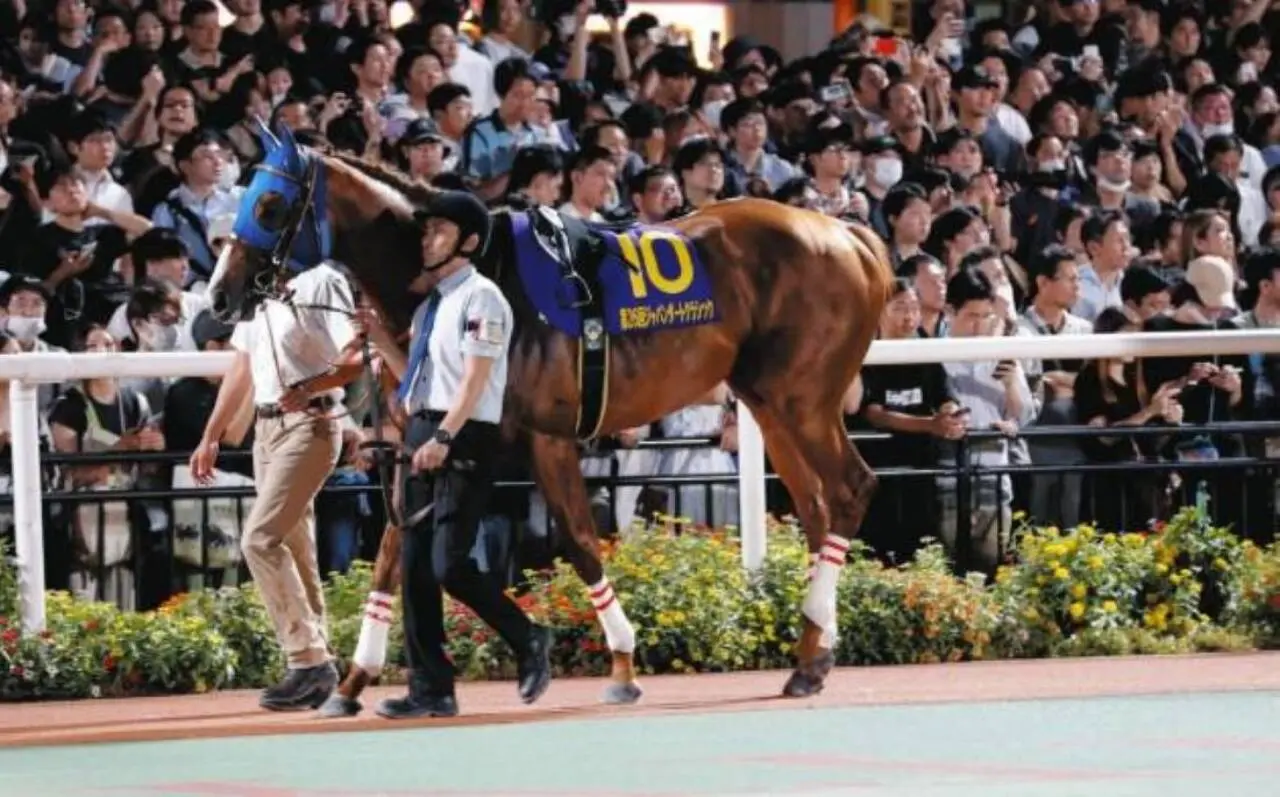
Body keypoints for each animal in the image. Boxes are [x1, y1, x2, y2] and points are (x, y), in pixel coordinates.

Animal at [208, 122, 894, 711]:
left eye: (269, 206)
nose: (219, 295)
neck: (469, 281)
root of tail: (850, 237)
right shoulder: (417, 446)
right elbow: (392, 555)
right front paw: (352, 681)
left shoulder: (545, 436)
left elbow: (581, 542)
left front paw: (620, 664)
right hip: (769, 399)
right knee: (817, 509)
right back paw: (811, 654)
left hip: (801, 397)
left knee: (849, 489)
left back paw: (811, 649)